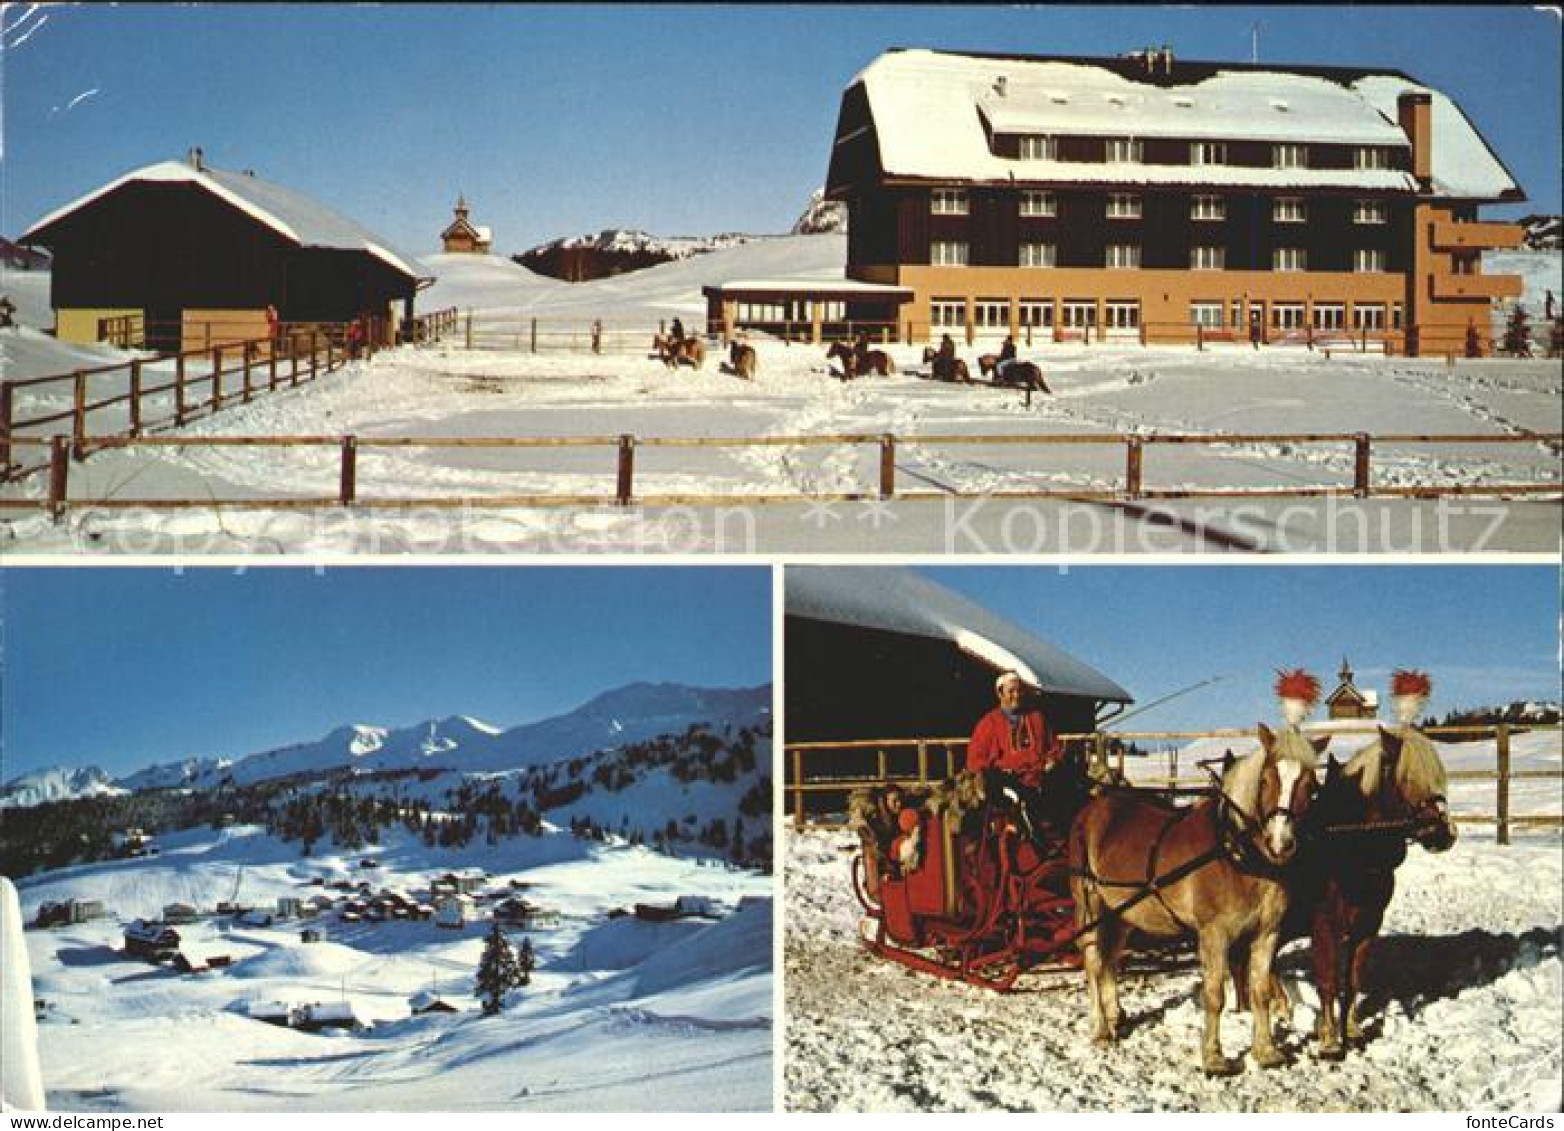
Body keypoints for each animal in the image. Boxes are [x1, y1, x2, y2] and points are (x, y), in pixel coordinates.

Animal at [1069, 725, 1326, 1082]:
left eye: (1311, 785)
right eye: (1265, 780)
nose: (1280, 843)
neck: (1236, 852)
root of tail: (1092, 808)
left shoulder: (1267, 934)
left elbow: (1260, 991)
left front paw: (1266, 1052)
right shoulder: (1214, 935)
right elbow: (1215, 995)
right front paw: (1215, 1058)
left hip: (1122, 913)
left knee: (1111, 960)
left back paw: (1115, 1014)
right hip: (1089, 904)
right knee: (1094, 962)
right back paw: (1101, 1029)